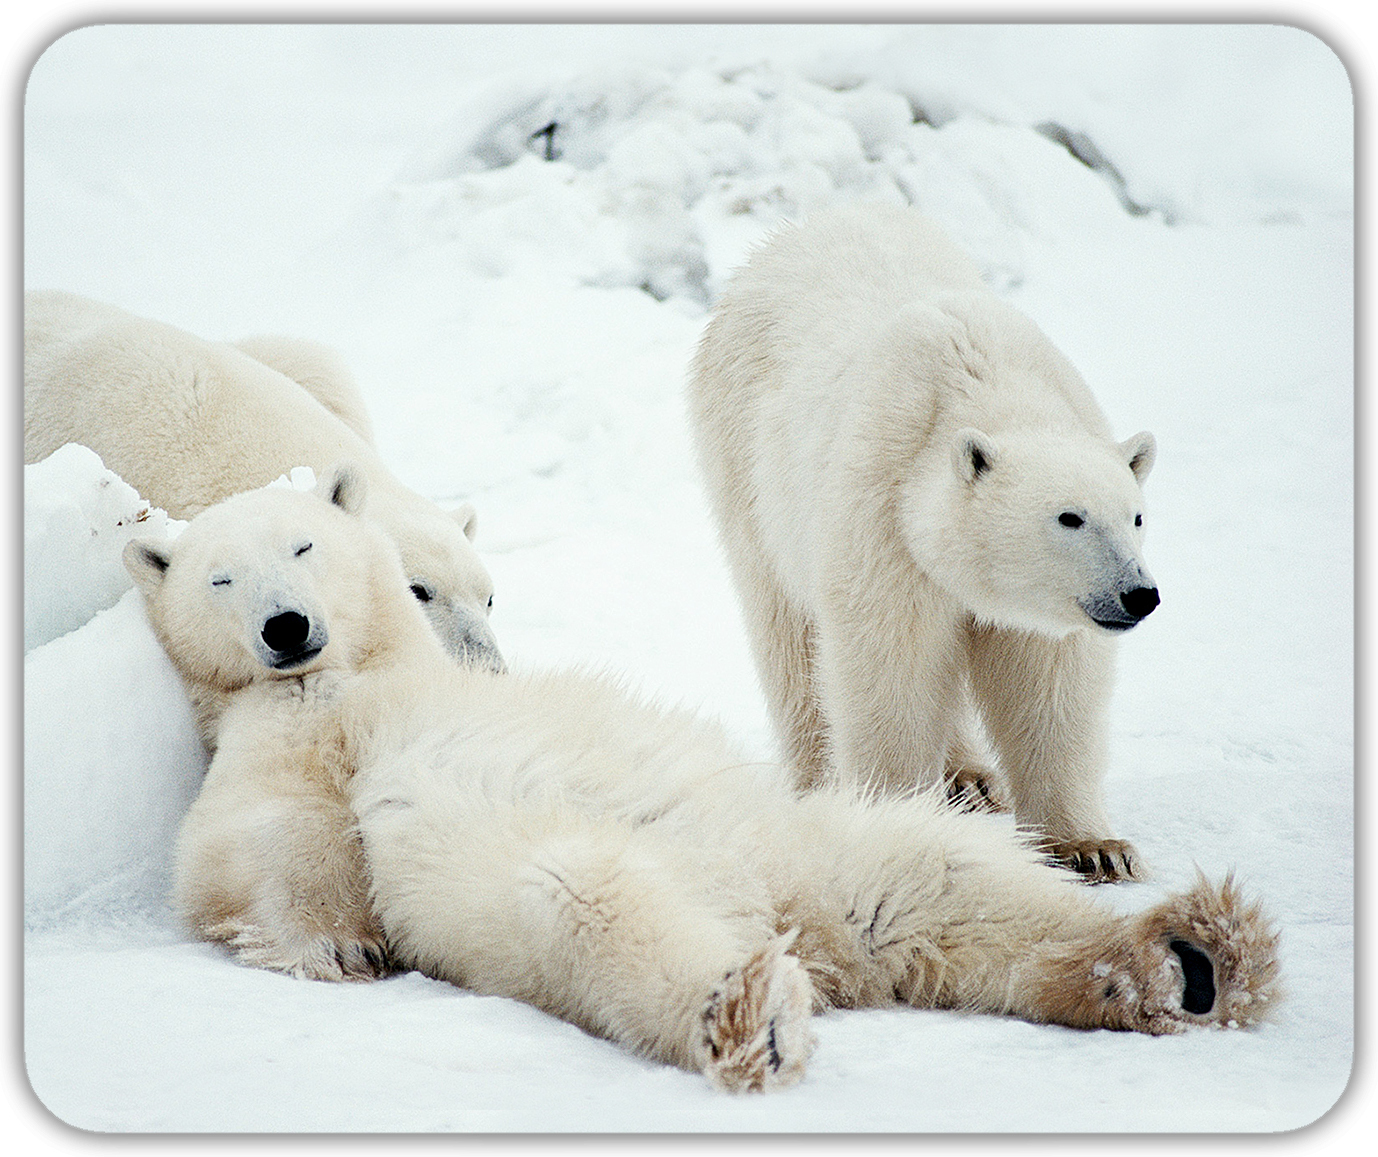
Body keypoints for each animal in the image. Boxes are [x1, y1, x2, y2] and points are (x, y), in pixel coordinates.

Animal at [126, 471, 1278, 1096]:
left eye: (302, 544)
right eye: (220, 575)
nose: (287, 626)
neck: (360, 670)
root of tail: (788, 921)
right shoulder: (288, 731)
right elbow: (249, 840)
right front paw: (337, 943)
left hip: (816, 843)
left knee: (942, 879)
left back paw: (1186, 956)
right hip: (580, 880)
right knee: (593, 904)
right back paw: (750, 1012)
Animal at [689, 203, 1163, 881]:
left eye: (1136, 517)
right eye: (1069, 517)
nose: (1137, 594)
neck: (986, 384)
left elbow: (1050, 681)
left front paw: (1095, 848)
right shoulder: (883, 516)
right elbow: (893, 662)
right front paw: (896, 823)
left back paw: (971, 777)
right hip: (747, 466)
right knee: (788, 636)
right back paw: (819, 780)